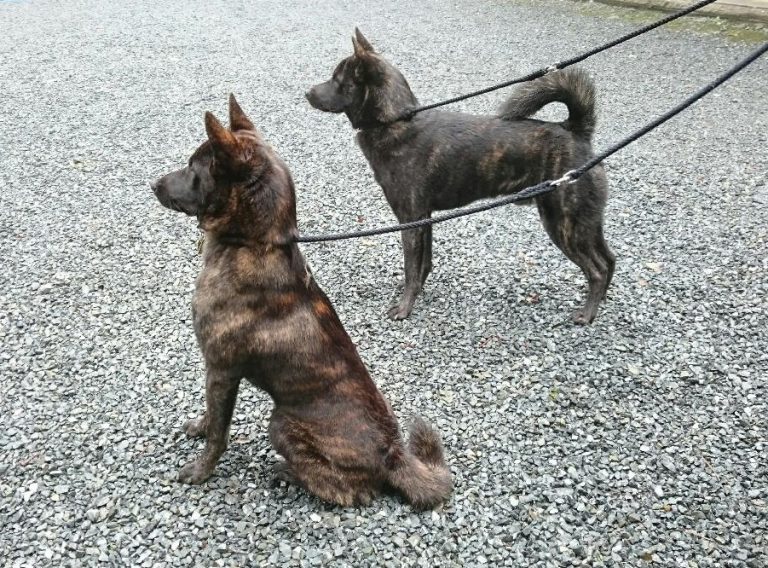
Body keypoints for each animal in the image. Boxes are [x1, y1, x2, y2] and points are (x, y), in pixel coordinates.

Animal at [148, 95, 450, 508]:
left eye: (194, 169)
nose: (153, 184)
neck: (255, 244)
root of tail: (393, 453)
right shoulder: (217, 373)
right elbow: (211, 417)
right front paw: (198, 424)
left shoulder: (222, 369)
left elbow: (219, 433)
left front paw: (201, 469)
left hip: (281, 422)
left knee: (352, 491)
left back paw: (288, 472)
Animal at [308, 30, 616, 324]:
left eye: (338, 80)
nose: (308, 92)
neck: (396, 122)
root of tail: (576, 130)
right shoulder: (424, 218)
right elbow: (423, 264)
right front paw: (417, 293)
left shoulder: (410, 221)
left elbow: (411, 268)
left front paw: (405, 308)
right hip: (586, 224)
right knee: (610, 259)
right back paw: (600, 301)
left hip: (563, 224)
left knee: (598, 268)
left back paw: (587, 314)